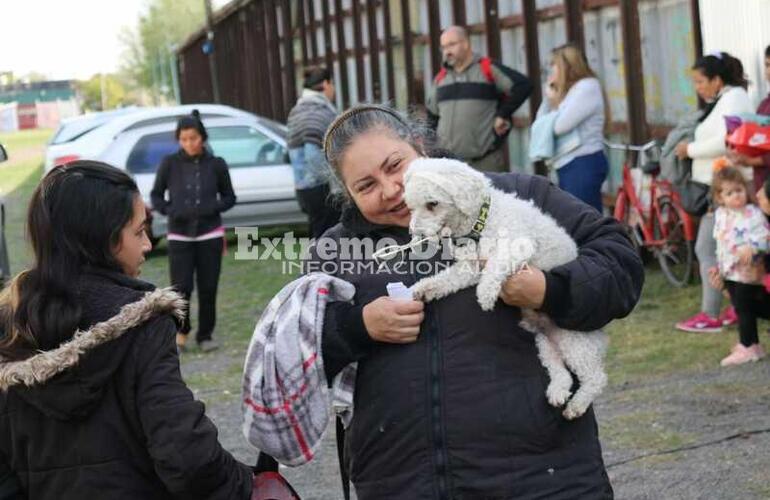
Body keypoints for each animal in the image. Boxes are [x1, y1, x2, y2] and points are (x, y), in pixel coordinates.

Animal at [402, 158, 608, 420]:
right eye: (410, 206)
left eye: (432, 204)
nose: (414, 234)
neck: (482, 221)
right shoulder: (470, 267)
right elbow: (447, 279)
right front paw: (424, 287)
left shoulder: (518, 246)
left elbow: (497, 263)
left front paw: (486, 293)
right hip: (544, 341)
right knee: (560, 370)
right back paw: (558, 392)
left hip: (573, 340)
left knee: (597, 378)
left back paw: (577, 405)